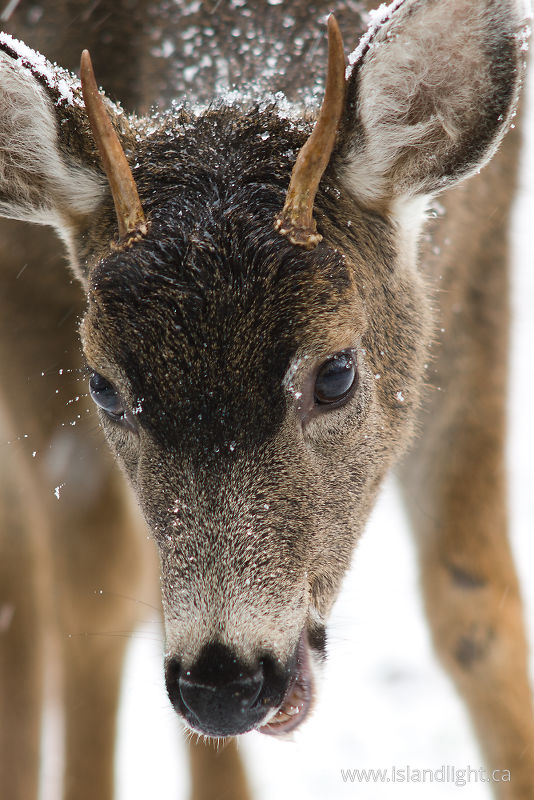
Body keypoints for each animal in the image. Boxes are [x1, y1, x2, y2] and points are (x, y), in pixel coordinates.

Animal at [0, 0, 533, 798]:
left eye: (336, 373)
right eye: (103, 385)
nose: (223, 684)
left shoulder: (481, 243)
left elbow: (476, 606)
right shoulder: (26, 295)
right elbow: (89, 593)